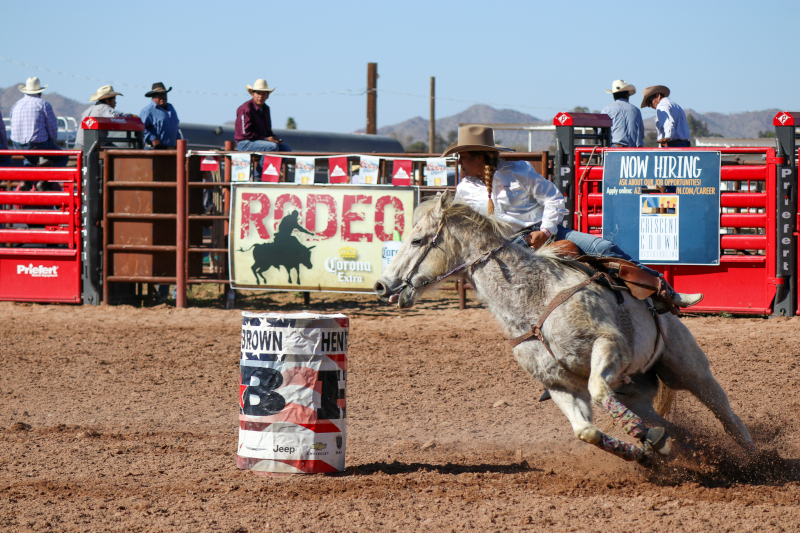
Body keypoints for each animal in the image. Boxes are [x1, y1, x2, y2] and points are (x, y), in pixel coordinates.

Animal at [376, 193, 756, 464]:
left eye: (417, 241)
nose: (381, 285)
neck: (534, 301)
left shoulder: (609, 346)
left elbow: (598, 390)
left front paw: (647, 442)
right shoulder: (558, 384)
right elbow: (586, 431)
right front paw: (644, 449)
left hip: (687, 368)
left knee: (725, 412)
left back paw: (756, 456)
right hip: (635, 390)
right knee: (668, 421)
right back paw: (673, 442)